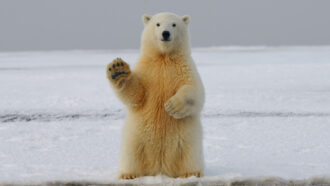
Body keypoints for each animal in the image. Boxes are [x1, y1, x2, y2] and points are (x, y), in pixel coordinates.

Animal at [106, 12, 204, 179]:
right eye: (157, 24)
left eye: (174, 24)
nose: (165, 33)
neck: (164, 57)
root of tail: (160, 168)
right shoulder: (147, 70)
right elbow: (137, 95)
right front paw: (118, 70)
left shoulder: (185, 68)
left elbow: (195, 91)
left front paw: (172, 106)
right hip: (136, 138)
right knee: (131, 155)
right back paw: (128, 174)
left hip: (188, 139)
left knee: (190, 155)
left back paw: (191, 173)